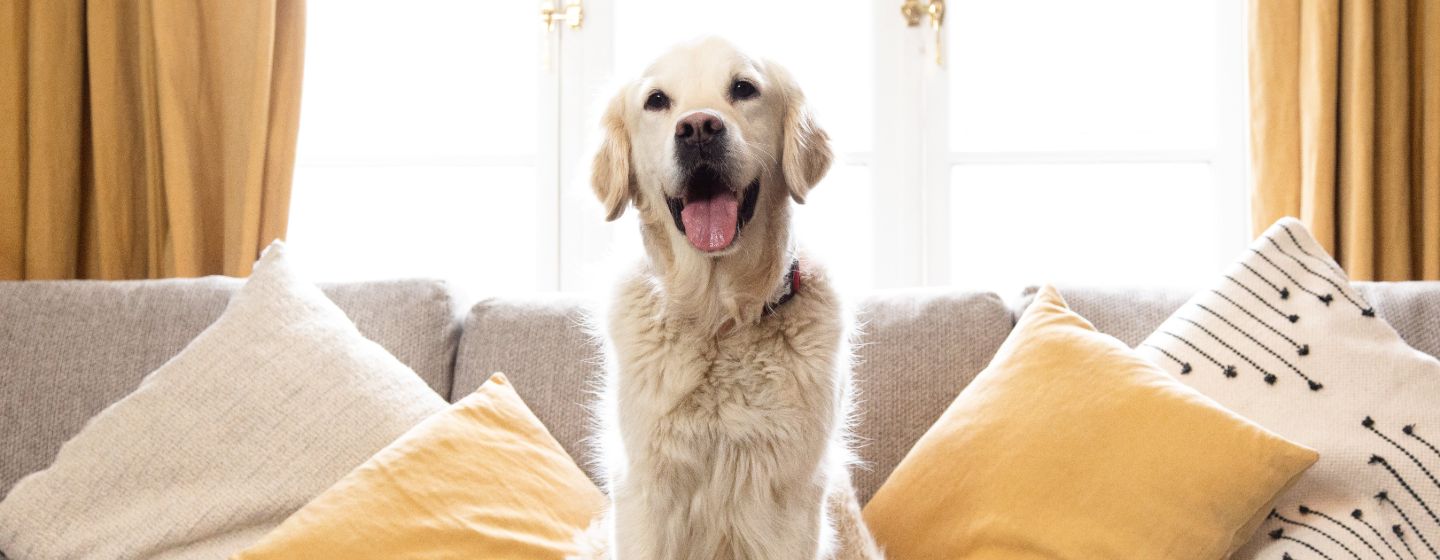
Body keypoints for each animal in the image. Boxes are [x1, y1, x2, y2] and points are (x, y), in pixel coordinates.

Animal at [581, 37, 875, 555]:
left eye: (743, 88)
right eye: (657, 100)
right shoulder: (645, 494)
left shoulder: (792, 502)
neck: (719, 319)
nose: (699, 128)